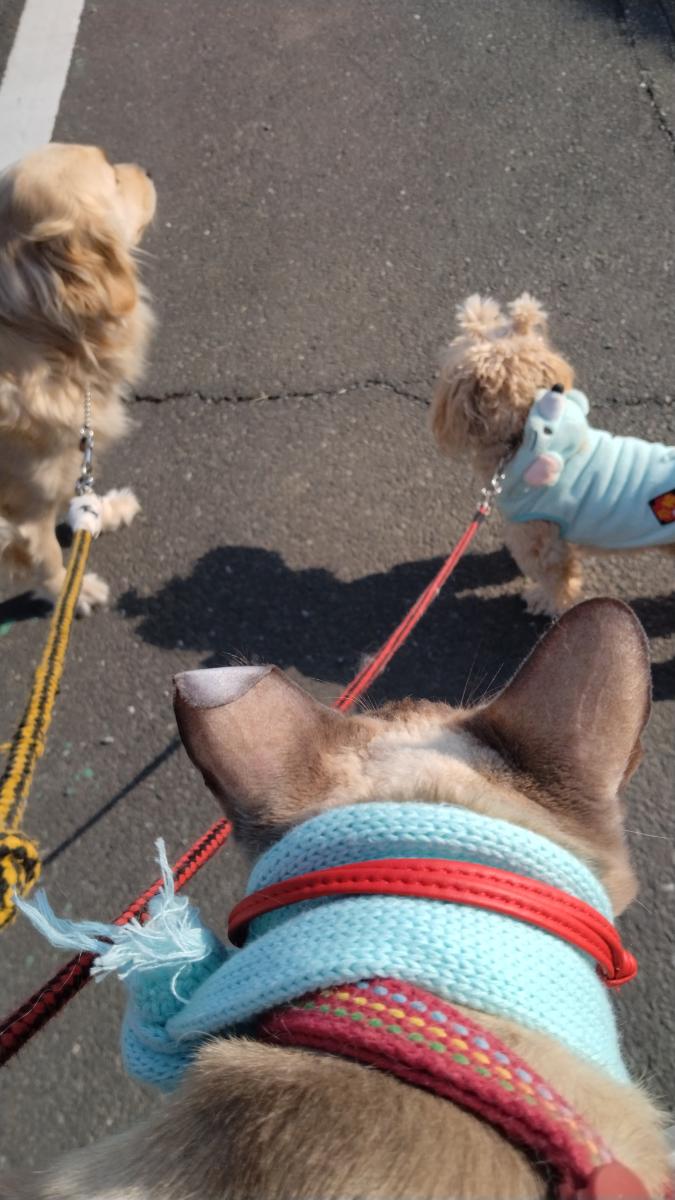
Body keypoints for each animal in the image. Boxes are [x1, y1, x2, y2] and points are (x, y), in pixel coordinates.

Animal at [0, 143, 156, 615]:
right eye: (114, 179)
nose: (148, 170)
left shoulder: (73, 448)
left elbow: (80, 489)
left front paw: (101, 510)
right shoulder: (23, 512)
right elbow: (47, 558)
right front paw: (75, 592)